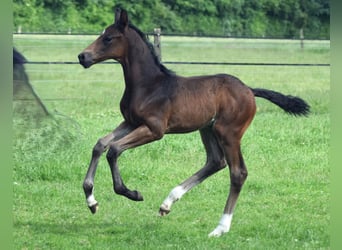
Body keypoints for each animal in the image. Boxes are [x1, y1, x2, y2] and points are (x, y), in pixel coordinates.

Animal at [78, 9, 310, 236]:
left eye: (108, 38)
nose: (82, 56)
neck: (149, 85)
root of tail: (249, 90)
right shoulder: (130, 122)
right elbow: (100, 144)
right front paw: (91, 201)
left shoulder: (154, 129)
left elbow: (114, 150)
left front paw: (131, 193)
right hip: (207, 129)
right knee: (216, 161)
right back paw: (167, 203)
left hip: (228, 132)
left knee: (238, 172)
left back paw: (220, 228)